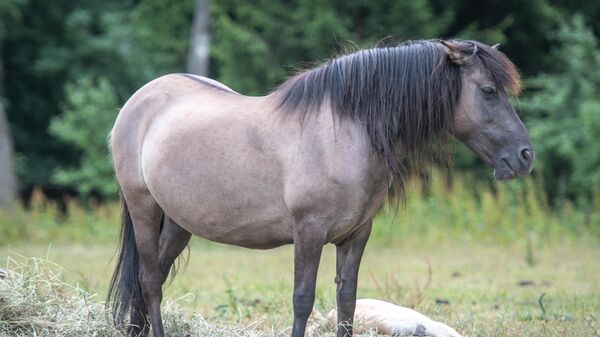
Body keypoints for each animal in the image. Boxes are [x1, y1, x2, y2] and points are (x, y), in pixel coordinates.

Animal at [105, 38, 532, 334]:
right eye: (488, 91)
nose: (525, 156)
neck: (342, 134)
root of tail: (140, 99)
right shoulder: (308, 233)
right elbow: (302, 299)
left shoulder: (356, 235)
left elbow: (347, 301)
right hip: (144, 208)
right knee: (150, 281)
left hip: (179, 222)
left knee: (152, 277)